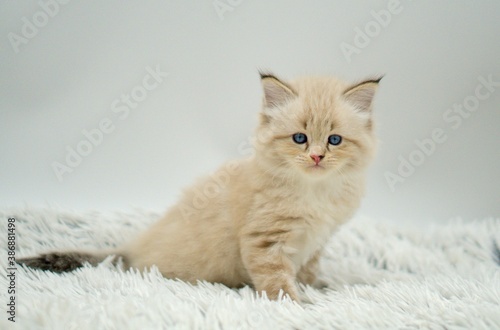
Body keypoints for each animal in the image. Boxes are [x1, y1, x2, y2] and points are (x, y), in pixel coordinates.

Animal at [17, 72, 380, 302]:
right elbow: (277, 279)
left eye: (334, 140)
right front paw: (296, 304)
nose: (317, 157)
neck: (316, 191)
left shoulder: (317, 241)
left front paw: (316, 288)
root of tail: (132, 247)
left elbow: (308, 271)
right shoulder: (264, 243)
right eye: (300, 139)